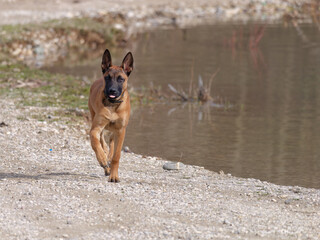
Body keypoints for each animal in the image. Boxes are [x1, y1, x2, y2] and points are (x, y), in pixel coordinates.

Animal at [87, 49, 132, 183]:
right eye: (107, 78)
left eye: (121, 79)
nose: (112, 91)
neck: (112, 105)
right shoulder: (95, 129)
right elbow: (96, 144)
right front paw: (102, 159)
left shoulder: (121, 131)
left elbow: (116, 156)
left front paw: (114, 176)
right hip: (95, 117)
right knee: (102, 141)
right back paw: (105, 161)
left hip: (115, 131)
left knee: (111, 144)